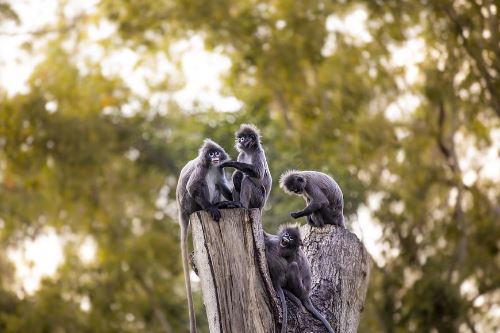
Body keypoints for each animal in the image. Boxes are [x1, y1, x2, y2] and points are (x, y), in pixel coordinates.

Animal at [176, 137, 242, 332]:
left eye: (216, 153)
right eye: (211, 153)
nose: (214, 157)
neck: (211, 166)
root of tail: (182, 211)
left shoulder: (219, 169)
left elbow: (223, 185)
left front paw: (236, 201)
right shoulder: (202, 168)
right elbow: (193, 187)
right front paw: (212, 208)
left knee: (217, 185)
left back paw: (225, 204)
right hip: (191, 205)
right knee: (201, 186)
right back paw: (216, 206)